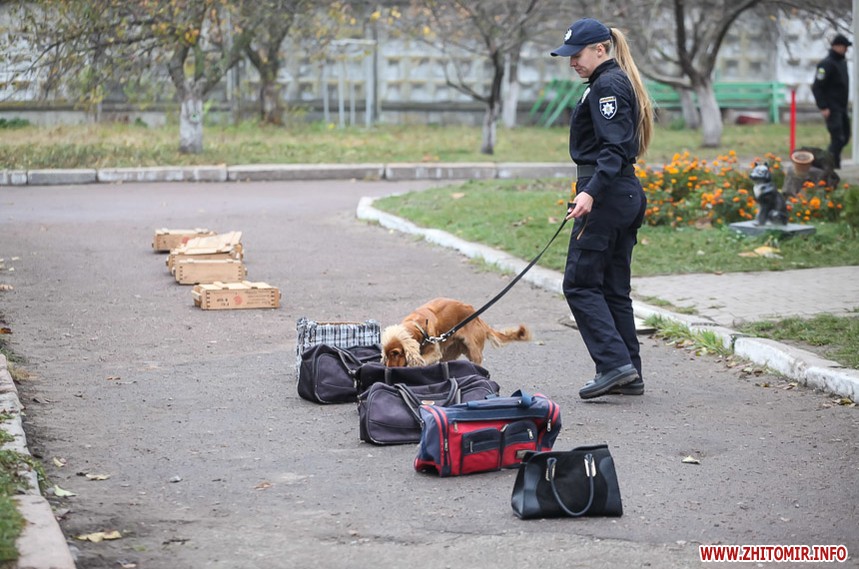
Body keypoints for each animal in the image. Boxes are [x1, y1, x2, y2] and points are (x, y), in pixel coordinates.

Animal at [381, 297, 531, 367]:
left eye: (396, 353)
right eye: (386, 355)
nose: (388, 368)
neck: (417, 325)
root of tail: (478, 318)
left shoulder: (435, 352)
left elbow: (422, 360)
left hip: (474, 350)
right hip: (450, 353)